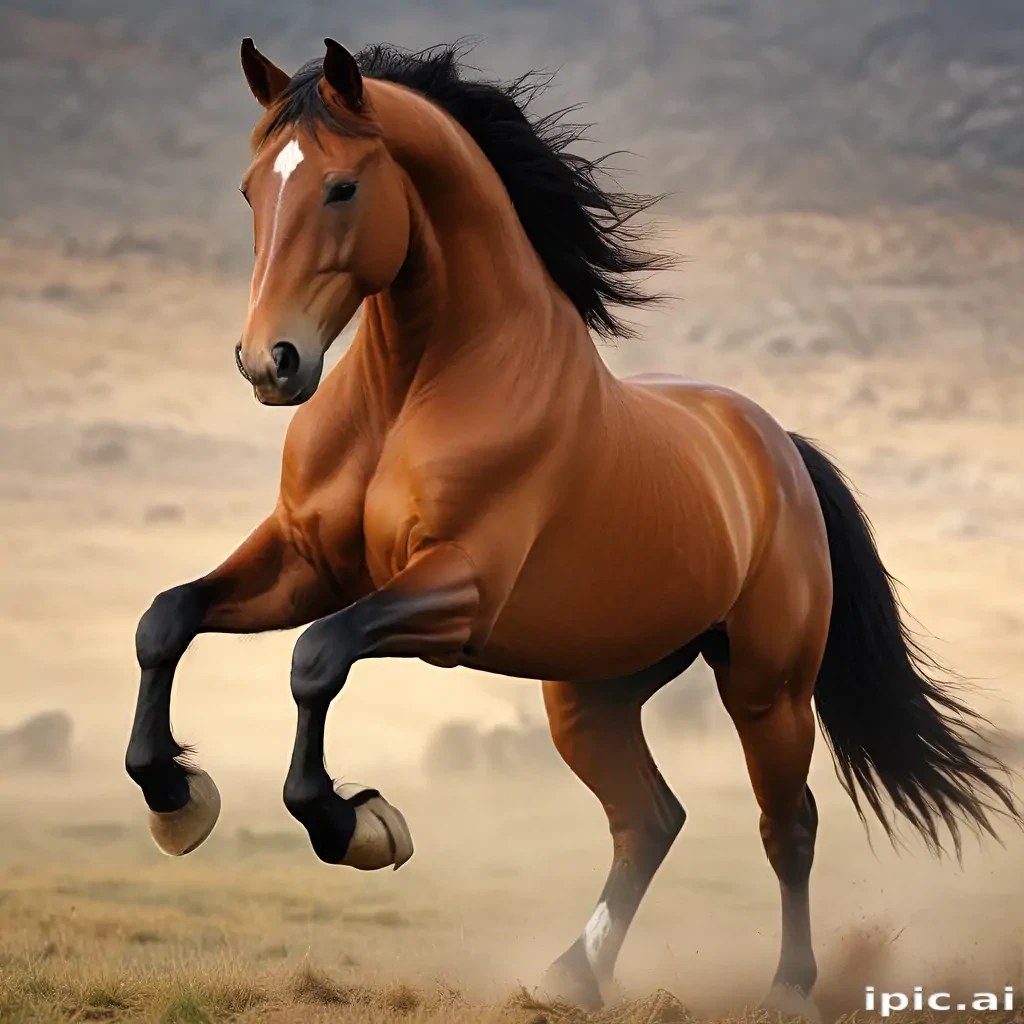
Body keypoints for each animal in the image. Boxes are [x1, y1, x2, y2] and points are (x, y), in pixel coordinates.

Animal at [124, 39, 1020, 1016]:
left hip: (766, 689)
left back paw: (787, 987)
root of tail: (777, 446)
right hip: (593, 693)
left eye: (343, 188)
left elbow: (316, 657)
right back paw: (571, 975)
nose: (269, 363)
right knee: (649, 820)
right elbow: (167, 618)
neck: (415, 388)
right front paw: (176, 798)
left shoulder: (457, 592)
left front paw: (357, 823)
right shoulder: (305, 562)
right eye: (251, 189)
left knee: (787, 825)